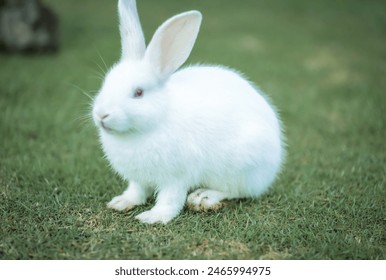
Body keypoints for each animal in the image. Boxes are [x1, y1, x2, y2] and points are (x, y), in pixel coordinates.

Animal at [92, 0, 284, 223]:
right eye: (106, 82)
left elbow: (170, 199)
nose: (101, 114)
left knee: (236, 191)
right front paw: (121, 203)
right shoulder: (138, 179)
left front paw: (153, 217)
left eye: (138, 92)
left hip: (240, 169)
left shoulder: (176, 177)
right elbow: (136, 191)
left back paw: (203, 197)